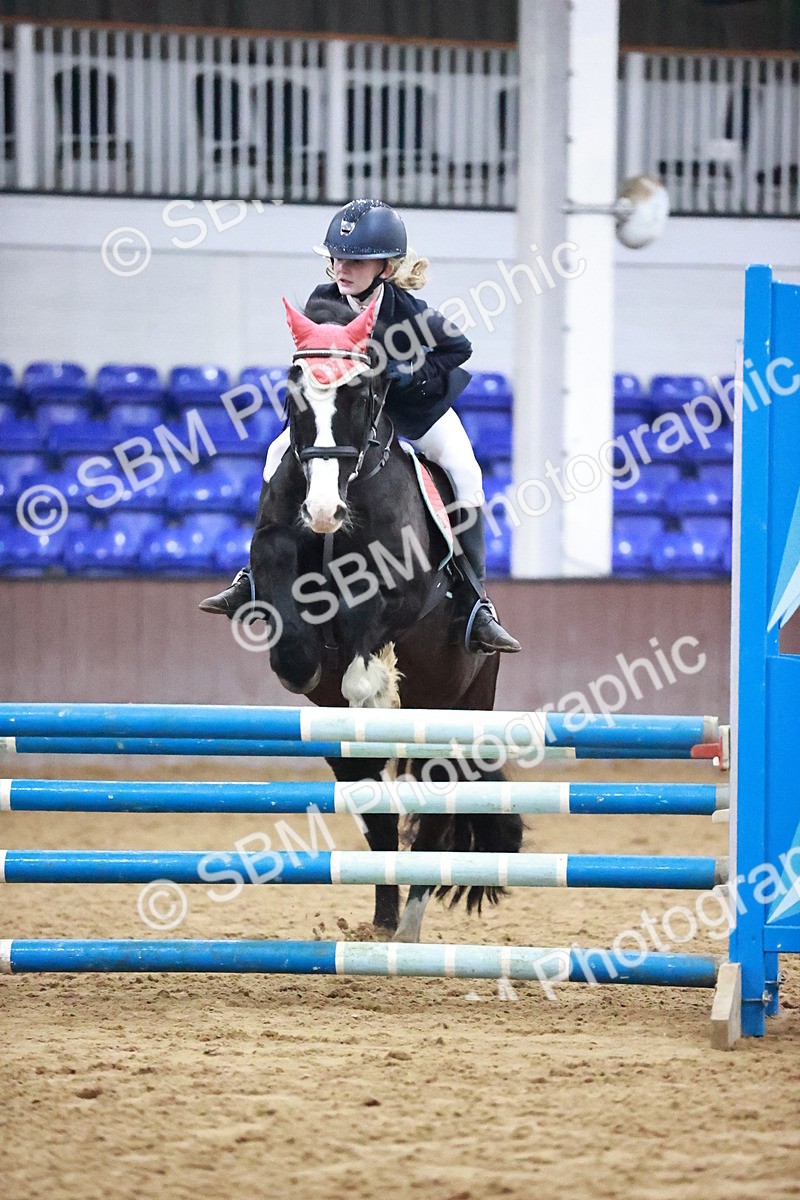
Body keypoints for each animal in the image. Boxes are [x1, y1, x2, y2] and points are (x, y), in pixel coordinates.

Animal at [249, 294, 523, 940]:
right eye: (293, 395)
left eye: (361, 394)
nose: (324, 511)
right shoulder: (275, 546)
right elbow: (292, 633)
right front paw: (308, 663)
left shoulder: (405, 593)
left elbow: (365, 642)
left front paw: (374, 686)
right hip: (350, 760)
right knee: (379, 819)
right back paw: (382, 923)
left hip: (456, 718)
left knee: (433, 824)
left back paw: (408, 931)